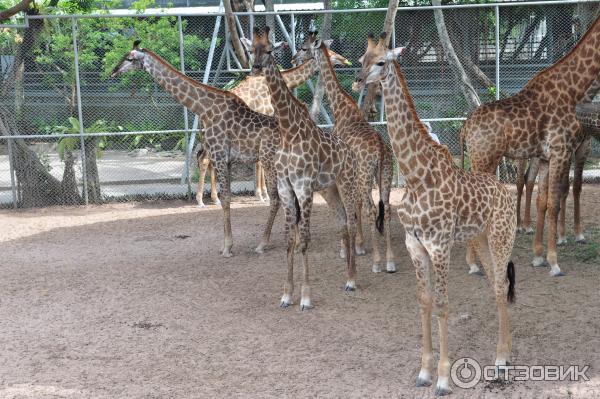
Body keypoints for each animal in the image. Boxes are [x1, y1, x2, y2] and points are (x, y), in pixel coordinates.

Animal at [112, 40, 282, 258]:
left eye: (129, 58)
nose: (114, 71)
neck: (204, 108)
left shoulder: (219, 154)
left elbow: (226, 199)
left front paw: (227, 247)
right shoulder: (225, 158)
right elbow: (225, 197)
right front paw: (226, 245)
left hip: (270, 161)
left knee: (278, 198)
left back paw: (263, 244)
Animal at [251, 27, 358, 310]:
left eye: (269, 50)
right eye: (252, 48)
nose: (255, 67)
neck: (288, 131)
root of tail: (352, 153)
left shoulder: (304, 187)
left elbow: (305, 240)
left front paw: (306, 297)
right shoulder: (287, 188)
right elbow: (290, 240)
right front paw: (287, 295)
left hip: (347, 184)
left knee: (353, 222)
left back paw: (352, 279)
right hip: (330, 190)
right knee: (343, 222)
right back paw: (347, 275)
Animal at [304, 38, 398, 272]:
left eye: (305, 48)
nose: (294, 59)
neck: (340, 109)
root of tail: (381, 149)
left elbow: (350, 209)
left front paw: (347, 249)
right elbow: (355, 206)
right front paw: (359, 245)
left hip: (366, 175)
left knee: (372, 209)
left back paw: (377, 263)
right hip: (385, 174)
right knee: (387, 208)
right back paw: (390, 261)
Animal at [354, 32, 516, 396]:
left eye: (381, 61)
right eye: (361, 59)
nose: (358, 80)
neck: (416, 176)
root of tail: (506, 193)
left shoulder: (439, 245)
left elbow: (442, 304)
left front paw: (443, 378)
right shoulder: (416, 245)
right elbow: (424, 301)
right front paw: (424, 372)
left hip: (502, 238)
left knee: (502, 285)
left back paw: (501, 360)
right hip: (481, 240)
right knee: (497, 286)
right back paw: (502, 355)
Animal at [462, 16, 600, 278]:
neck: (576, 90)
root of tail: (465, 126)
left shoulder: (547, 157)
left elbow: (543, 202)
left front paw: (539, 257)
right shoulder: (562, 150)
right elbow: (555, 203)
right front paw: (555, 263)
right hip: (485, 159)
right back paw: (474, 264)